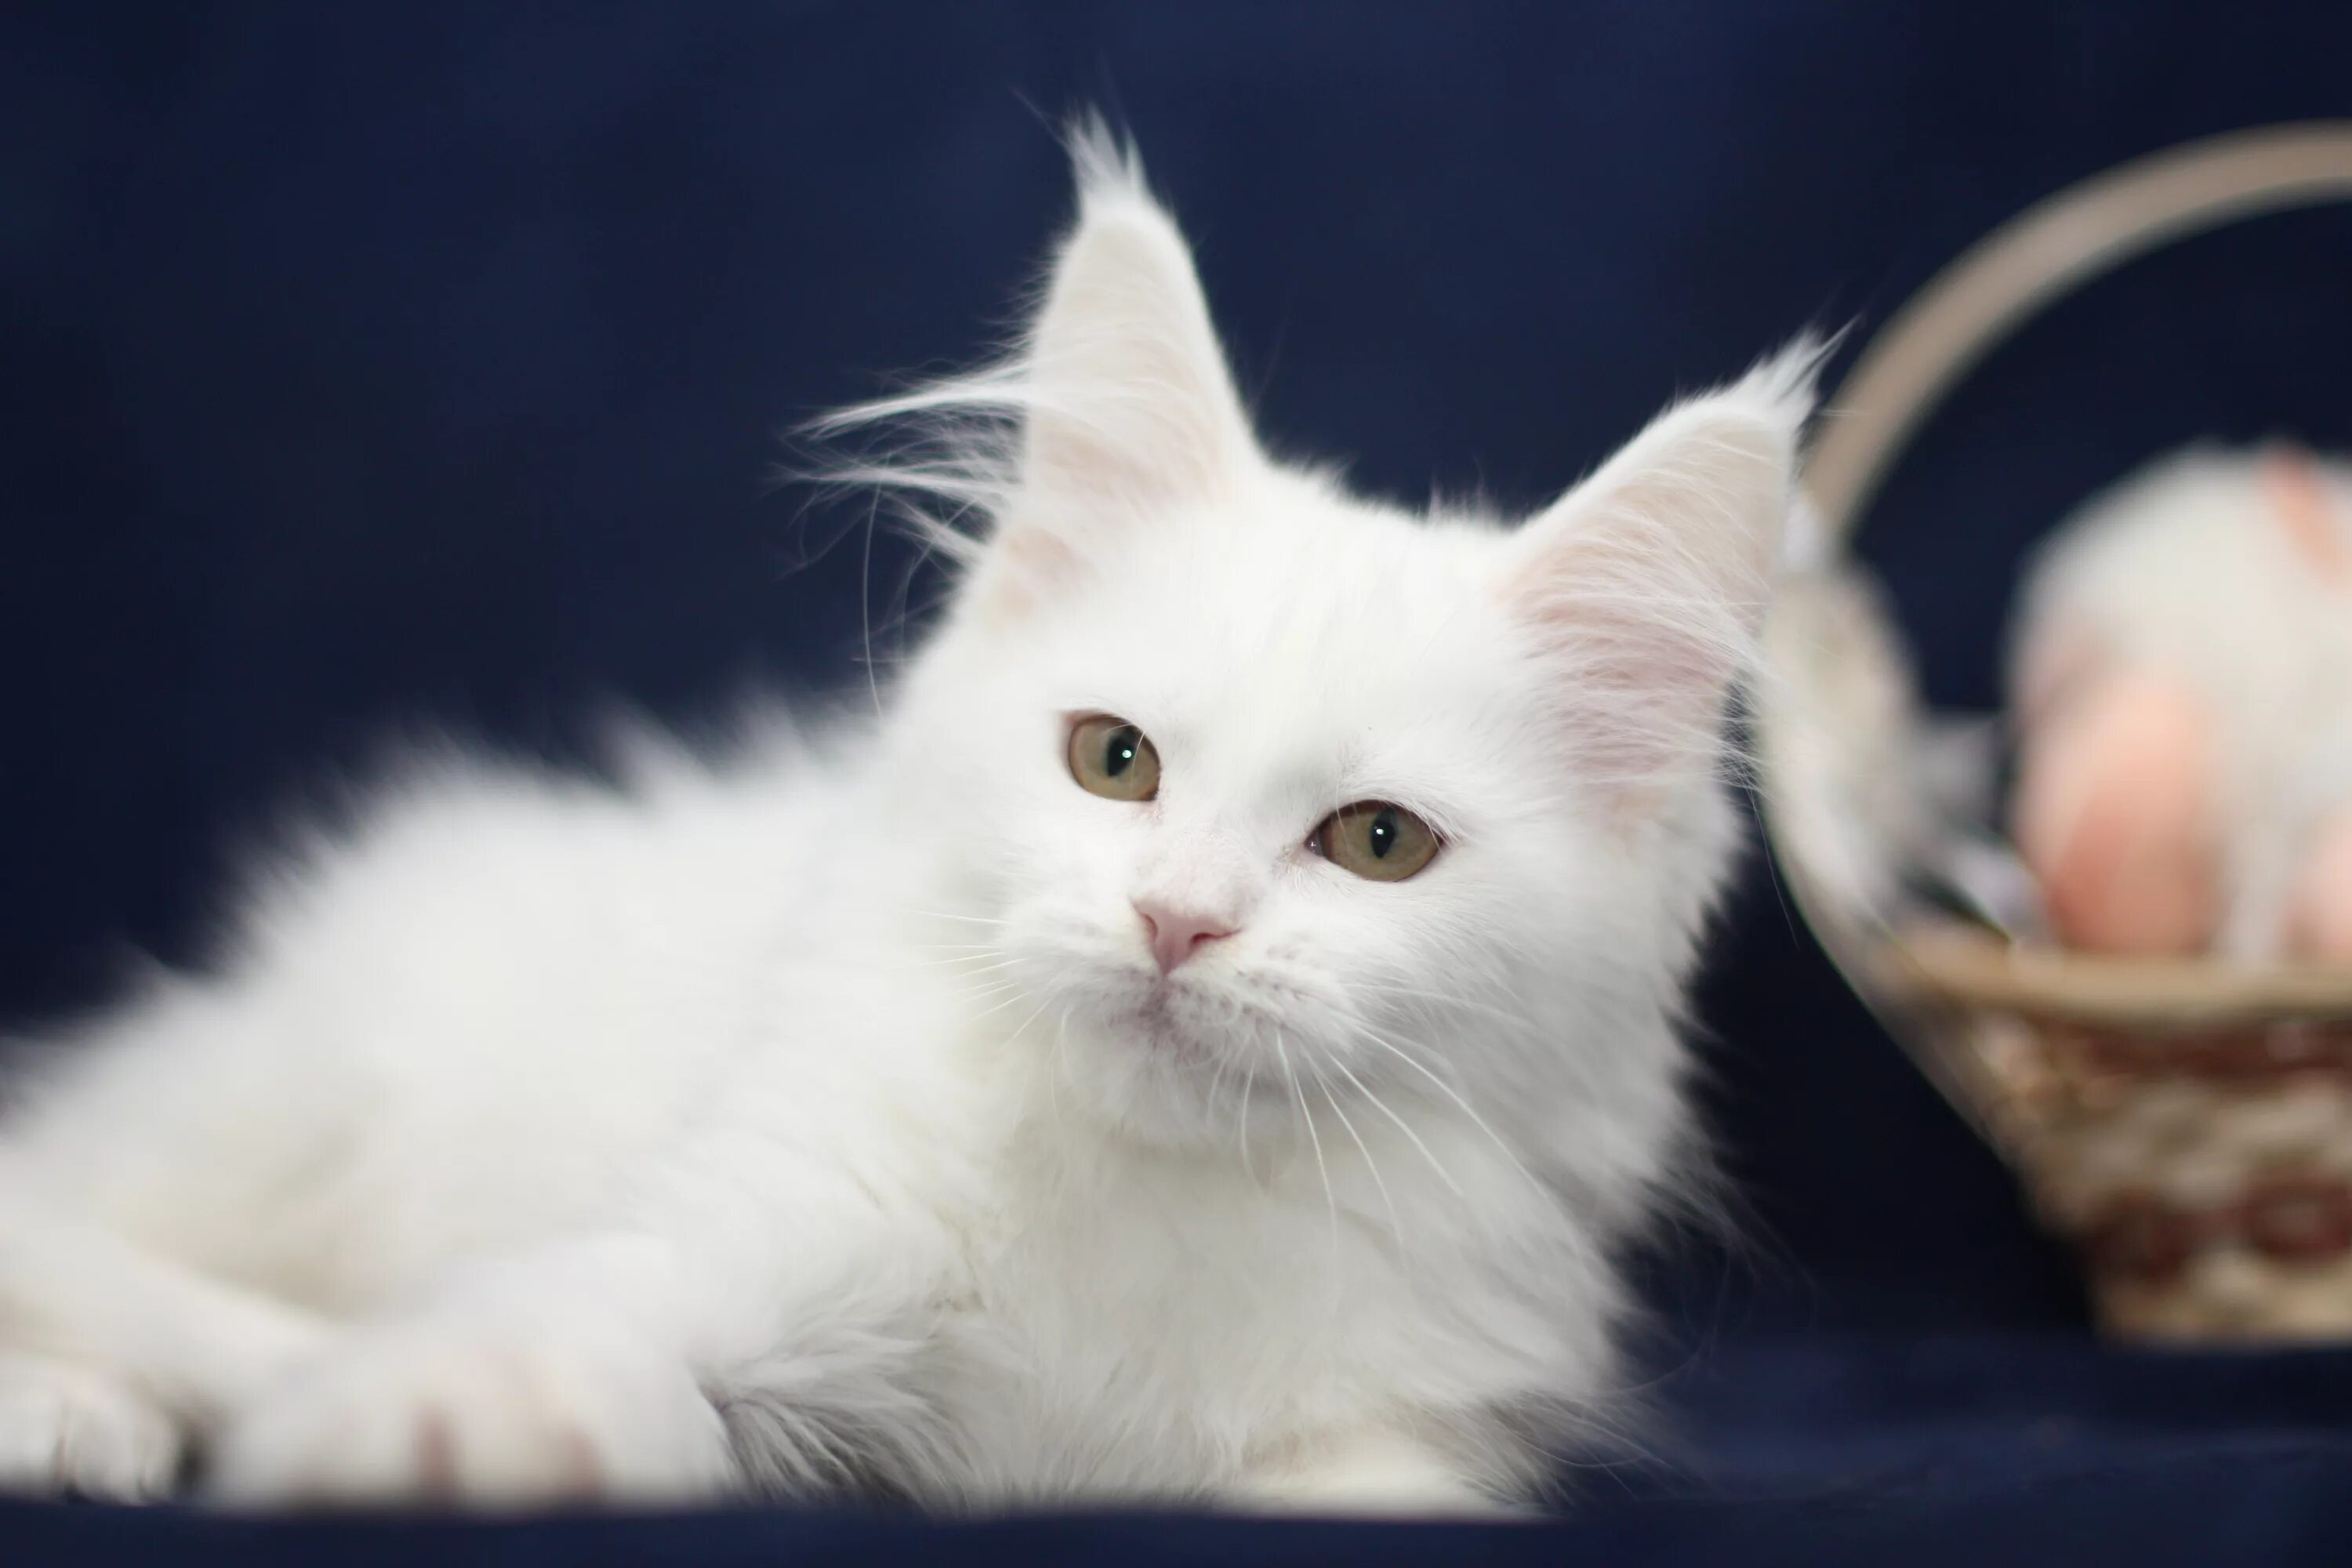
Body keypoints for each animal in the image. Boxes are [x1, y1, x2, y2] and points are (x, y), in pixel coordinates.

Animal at [0, 138, 1816, 1523]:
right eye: (1113, 761)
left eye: (1378, 845)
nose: (1178, 920)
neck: (1143, 1217)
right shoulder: (745, 1221)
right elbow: (569, 1329)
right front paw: (452, 1430)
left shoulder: (1400, 1430)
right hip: (284, 1106)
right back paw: (77, 1414)